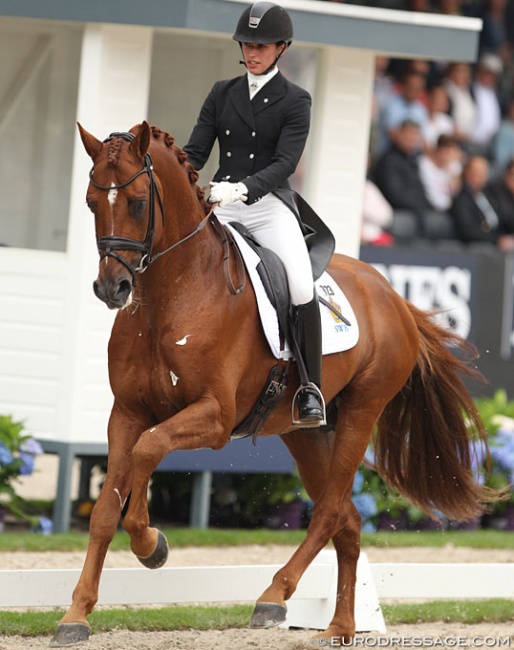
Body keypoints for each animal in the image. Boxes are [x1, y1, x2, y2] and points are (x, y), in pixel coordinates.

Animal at [50, 121, 494, 644]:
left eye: (138, 202)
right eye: (90, 202)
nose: (111, 288)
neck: (170, 296)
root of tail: (392, 295)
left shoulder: (214, 417)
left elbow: (148, 450)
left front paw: (150, 543)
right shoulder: (126, 413)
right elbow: (104, 509)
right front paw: (75, 616)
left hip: (361, 411)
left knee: (328, 513)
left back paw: (274, 595)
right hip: (305, 433)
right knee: (347, 519)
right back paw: (340, 627)